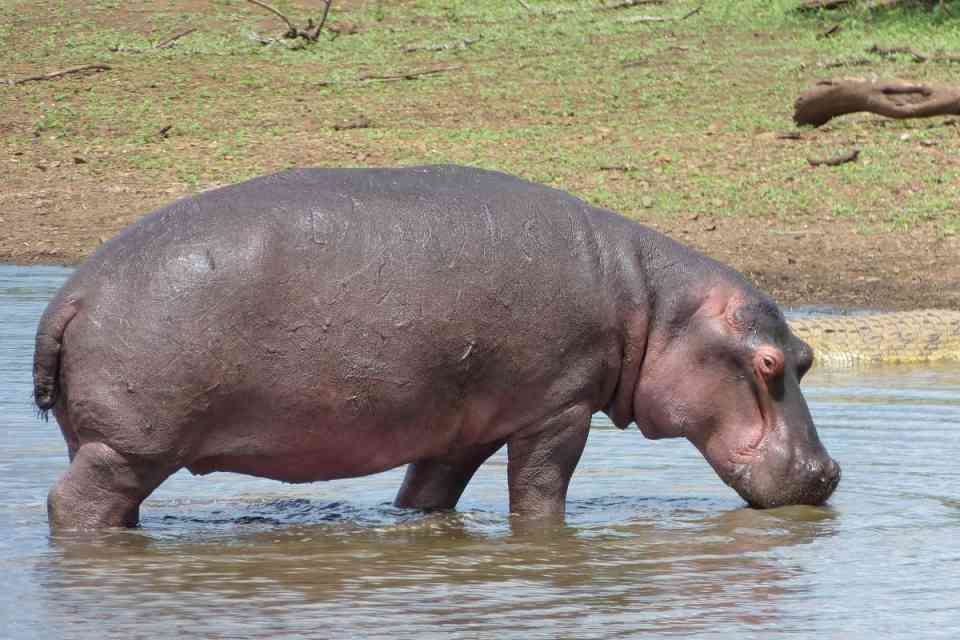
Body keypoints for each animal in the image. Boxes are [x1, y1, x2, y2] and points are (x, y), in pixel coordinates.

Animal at [34, 165, 840, 530]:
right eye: (768, 364)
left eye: (806, 357)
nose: (827, 473)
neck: (651, 306)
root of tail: (72, 294)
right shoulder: (559, 407)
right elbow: (541, 492)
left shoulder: (461, 428)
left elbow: (426, 494)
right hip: (127, 447)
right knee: (72, 502)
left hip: (110, 446)